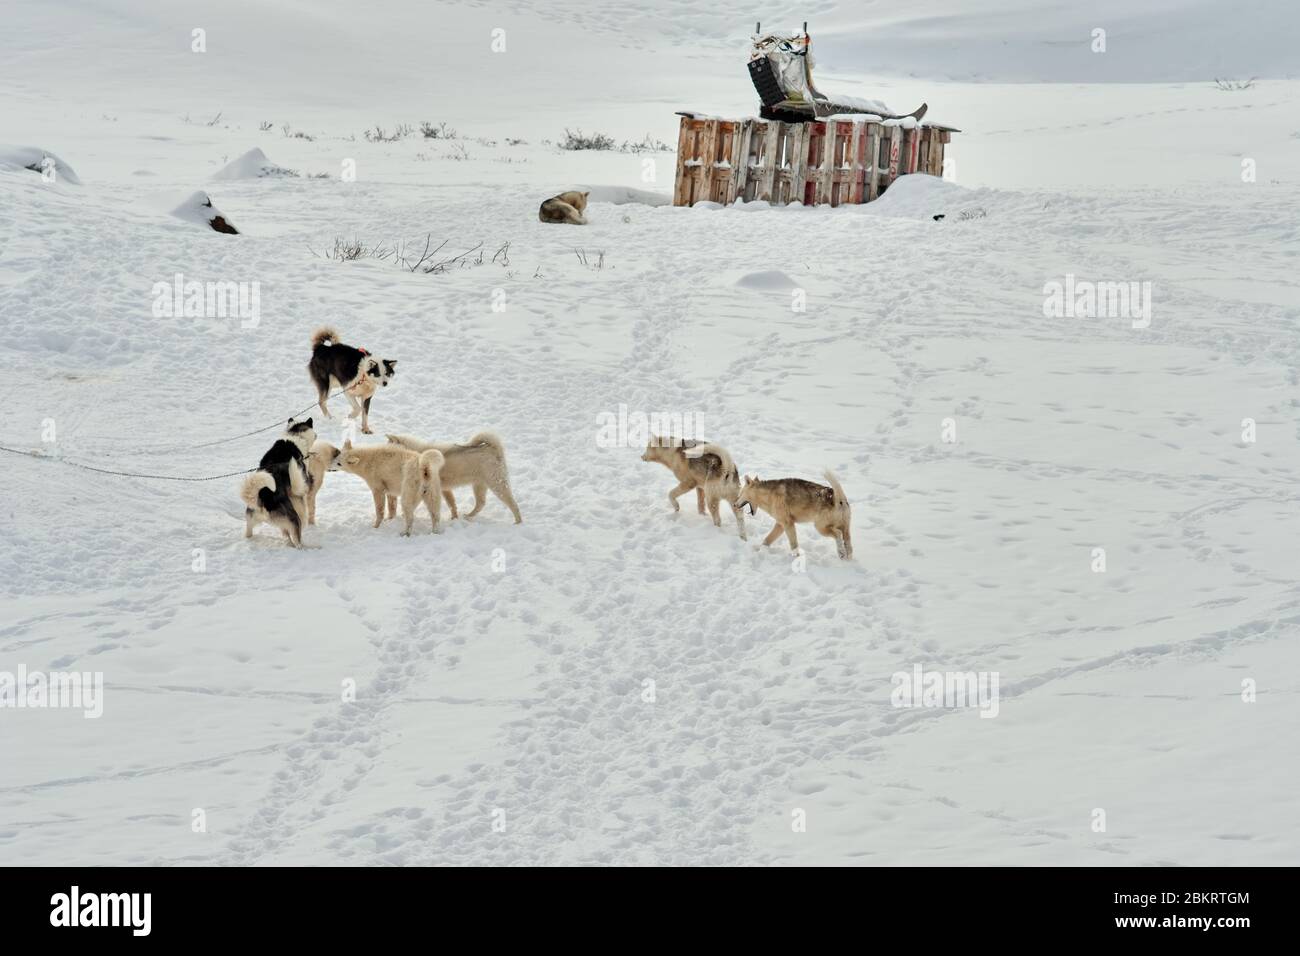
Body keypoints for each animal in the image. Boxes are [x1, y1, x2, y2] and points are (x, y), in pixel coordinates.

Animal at [241, 416, 317, 546]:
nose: (316, 435)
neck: (295, 435)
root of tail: (264, 496)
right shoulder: (299, 489)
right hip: (293, 518)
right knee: (297, 539)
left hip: (251, 517)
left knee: (250, 531)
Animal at [319, 442, 447, 538]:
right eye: (336, 458)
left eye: (339, 463)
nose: (327, 467)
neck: (367, 462)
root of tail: (424, 468)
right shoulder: (390, 492)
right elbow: (392, 509)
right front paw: (389, 520)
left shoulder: (378, 489)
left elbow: (379, 510)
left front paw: (376, 527)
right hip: (432, 496)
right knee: (435, 516)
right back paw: (434, 532)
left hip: (407, 496)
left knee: (410, 518)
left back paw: (405, 533)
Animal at [384, 431, 522, 522]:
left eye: (390, 449)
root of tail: (493, 448)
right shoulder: (445, 489)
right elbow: (452, 504)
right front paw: (454, 518)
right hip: (479, 485)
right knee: (481, 503)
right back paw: (468, 516)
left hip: (496, 485)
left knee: (513, 504)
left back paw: (518, 522)